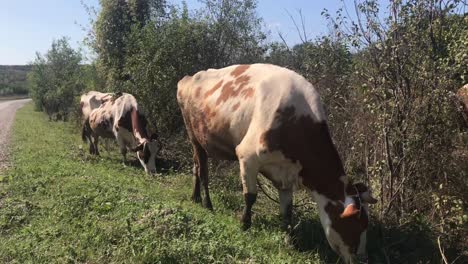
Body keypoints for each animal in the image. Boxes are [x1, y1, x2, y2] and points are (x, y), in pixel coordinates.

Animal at [177, 63, 378, 262]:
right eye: (355, 226)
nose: (363, 258)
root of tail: (189, 78)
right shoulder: (247, 157)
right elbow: (250, 196)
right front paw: (244, 225)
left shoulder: (286, 174)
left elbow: (287, 210)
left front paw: (291, 241)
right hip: (195, 138)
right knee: (203, 171)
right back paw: (207, 204)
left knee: (195, 167)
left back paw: (195, 197)